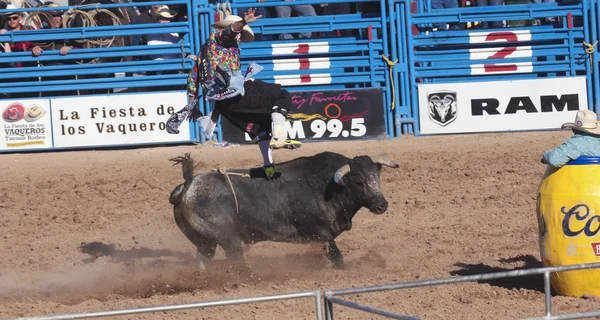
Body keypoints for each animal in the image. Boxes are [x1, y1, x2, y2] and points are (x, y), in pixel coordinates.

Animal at [168, 151, 398, 272]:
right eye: (358, 181)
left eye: (377, 177)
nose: (381, 205)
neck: (327, 186)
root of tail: (188, 187)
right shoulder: (322, 233)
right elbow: (336, 256)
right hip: (229, 240)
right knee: (236, 260)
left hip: (206, 243)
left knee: (202, 261)